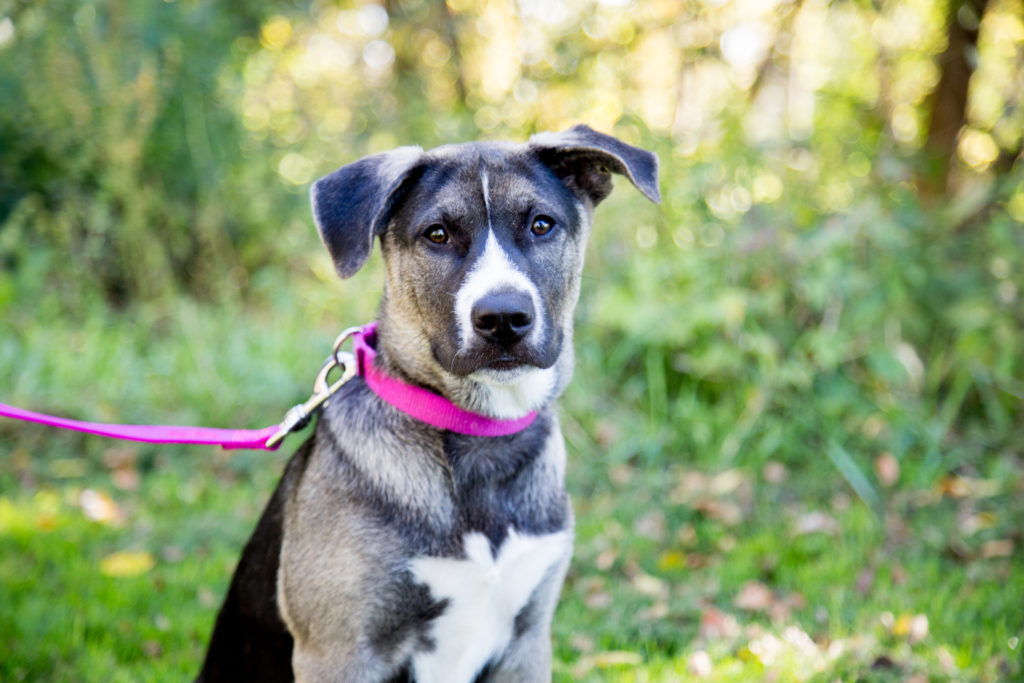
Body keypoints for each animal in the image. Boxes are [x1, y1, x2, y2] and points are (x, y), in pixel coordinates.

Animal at [196, 126, 659, 683]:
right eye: (437, 234)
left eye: (541, 225)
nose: (503, 318)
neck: (480, 439)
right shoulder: (338, 651)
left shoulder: (528, 641)